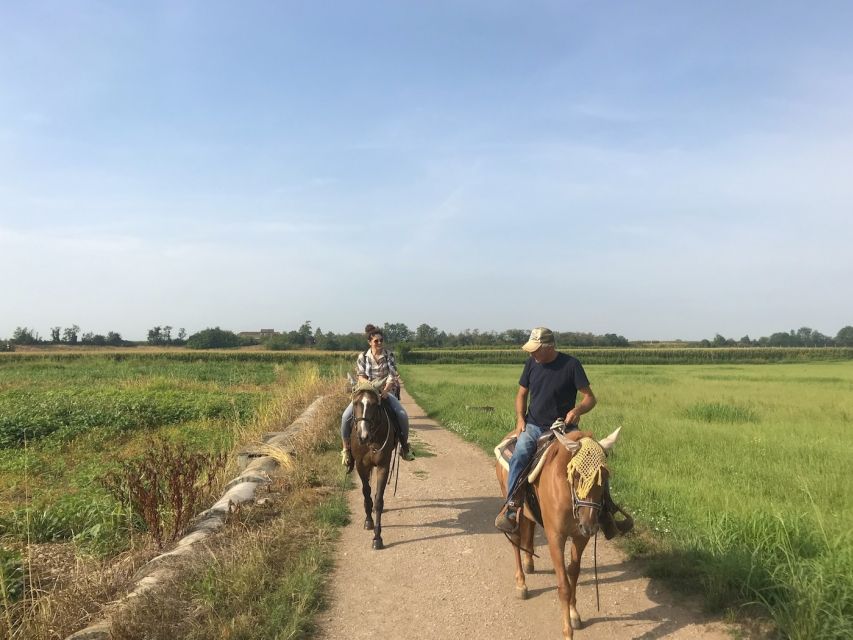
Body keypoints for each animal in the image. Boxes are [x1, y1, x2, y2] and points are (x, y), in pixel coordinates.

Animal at [348, 380, 398, 552]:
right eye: (355, 403)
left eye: (375, 404)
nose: (363, 436)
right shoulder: (361, 466)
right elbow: (366, 494)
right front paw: (368, 521)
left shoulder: (383, 466)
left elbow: (378, 501)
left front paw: (377, 538)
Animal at [492, 424, 620, 640]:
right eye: (576, 476)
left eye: (605, 477)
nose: (590, 526)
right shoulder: (555, 537)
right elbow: (564, 585)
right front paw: (567, 631)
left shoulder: (579, 537)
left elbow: (574, 574)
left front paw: (574, 614)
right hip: (512, 506)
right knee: (516, 539)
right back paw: (521, 584)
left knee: (529, 529)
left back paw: (529, 562)